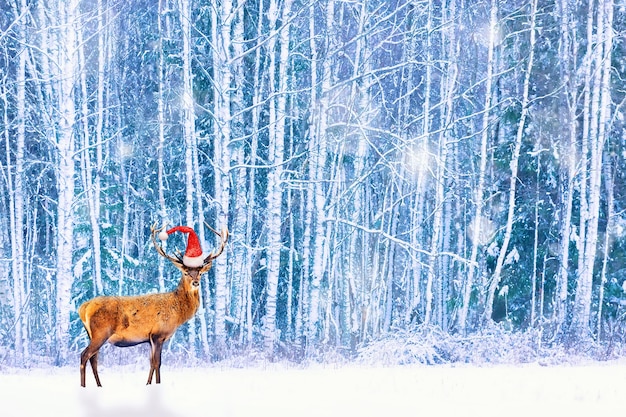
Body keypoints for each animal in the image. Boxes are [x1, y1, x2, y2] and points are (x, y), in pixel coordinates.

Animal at [78, 221, 228, 386]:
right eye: (185, 272)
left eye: (200, 273)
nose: (196, 282)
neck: (178, 313)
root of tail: (83, 308)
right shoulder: (158, 334)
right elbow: (157, 363)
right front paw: (157, 384)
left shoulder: (150, 338)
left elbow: (151, 362)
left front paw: (148, 384)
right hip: (101, 332)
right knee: (84, 355)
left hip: (92, 334)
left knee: (93, 359)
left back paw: (99, 385)